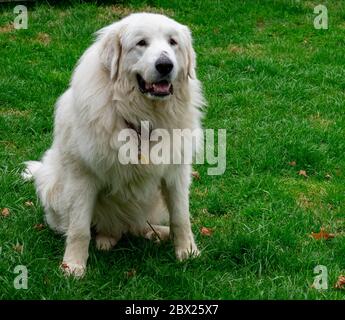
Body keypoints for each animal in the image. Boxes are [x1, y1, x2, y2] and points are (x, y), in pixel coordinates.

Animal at [23, 13, 204, 278]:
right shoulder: (83, 176)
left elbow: (181, 218)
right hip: (51, 184)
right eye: (141, 43)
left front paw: (187, 253)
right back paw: (106, 239)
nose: (165, 65)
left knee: (138, 225)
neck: (142, 118)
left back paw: (157, 233)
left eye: (173, 42)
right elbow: (79, 229)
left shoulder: (176, 173)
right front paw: (73, 267)